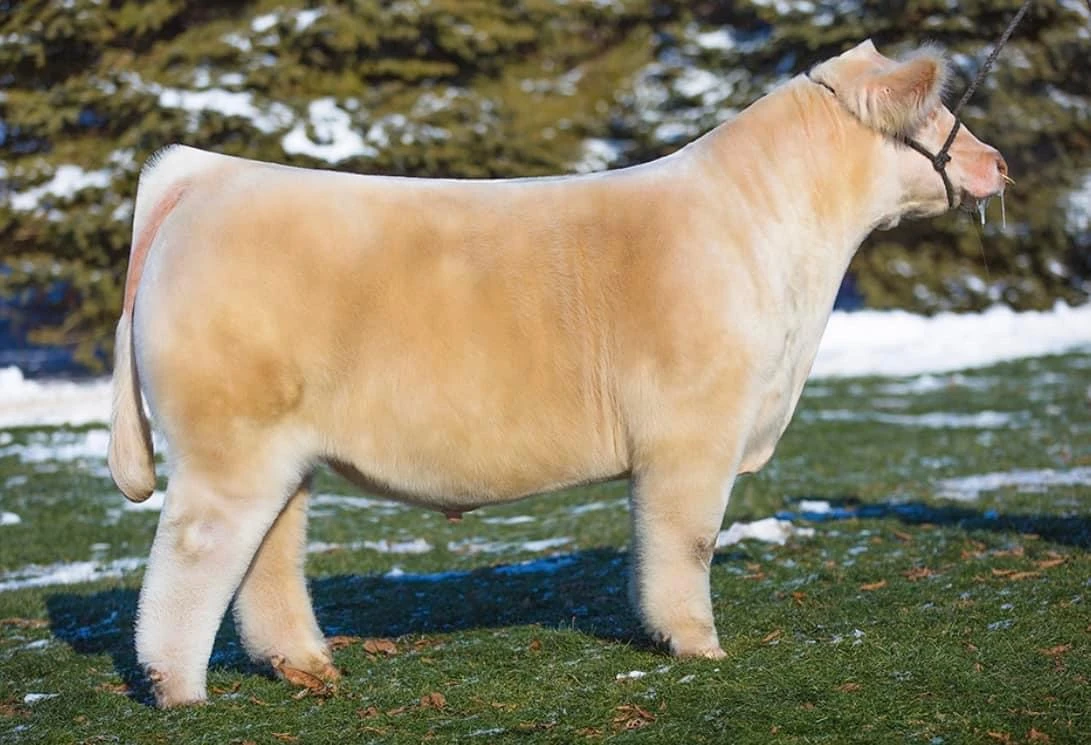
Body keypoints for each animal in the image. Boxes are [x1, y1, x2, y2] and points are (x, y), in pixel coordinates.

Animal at [108, 40, 1009, 707]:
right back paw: (179, 689)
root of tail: (211, 176)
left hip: (281, 453)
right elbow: (685, 541)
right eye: (938, 115)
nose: (996, 162)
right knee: (193, 556)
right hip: (229, 448)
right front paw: (696, 644)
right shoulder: (693, 432)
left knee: (267, 557)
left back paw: (306, 665)